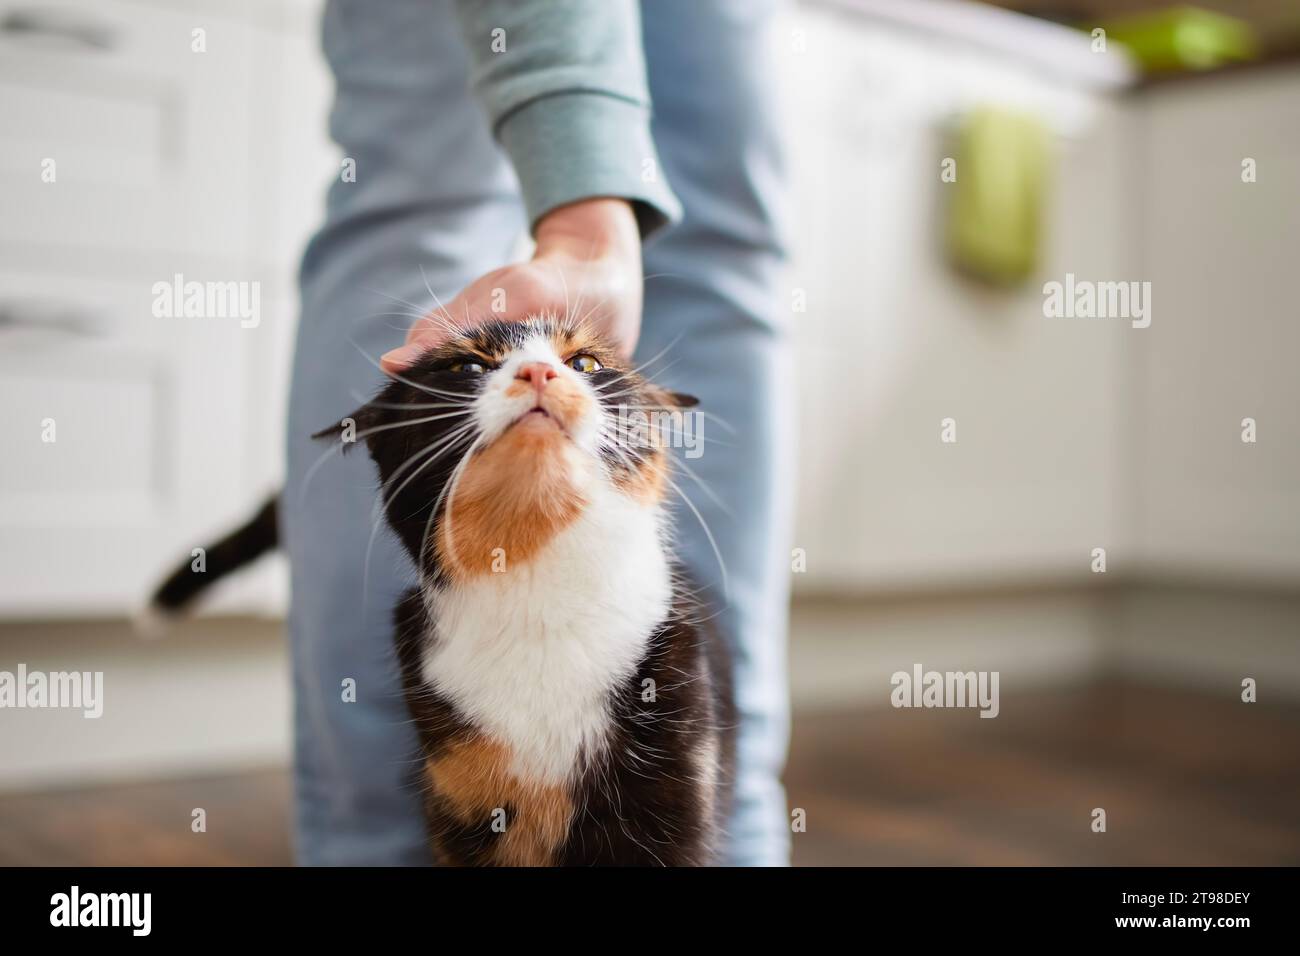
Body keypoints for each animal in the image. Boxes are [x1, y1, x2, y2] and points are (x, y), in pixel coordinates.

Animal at [152, 316, 733, 868]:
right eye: (467, 367)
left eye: (585, 363)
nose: (539, 372)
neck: (540, 602)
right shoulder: (461, 799)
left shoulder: (673, 787)